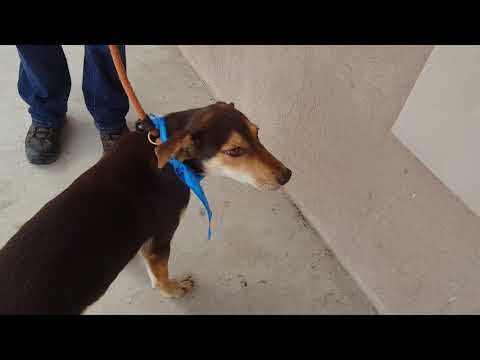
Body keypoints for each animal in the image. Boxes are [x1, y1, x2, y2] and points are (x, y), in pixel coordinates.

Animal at [0, 100, 292, 312]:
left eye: (257, 133)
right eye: (234, 151)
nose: (287, 175)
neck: (168, 155)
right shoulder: (161, 236)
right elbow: (161, 275)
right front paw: (174, 289)